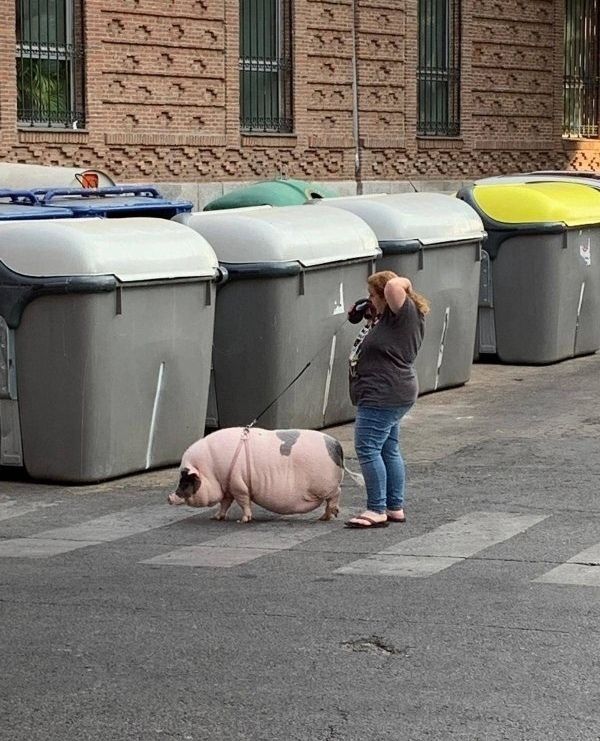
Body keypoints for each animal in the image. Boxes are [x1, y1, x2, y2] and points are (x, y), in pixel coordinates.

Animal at [167, 426, 346, 523]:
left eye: (185, 481)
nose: (168, 498)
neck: (211, 470)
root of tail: (336, 445)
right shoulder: (228, 487)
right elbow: (224, 503)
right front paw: (216, 517)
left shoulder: (238, 484)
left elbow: (243, 502)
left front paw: (243, 520)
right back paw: (325, 517)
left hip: (324, 485)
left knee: (336, 493)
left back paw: (328, 516)